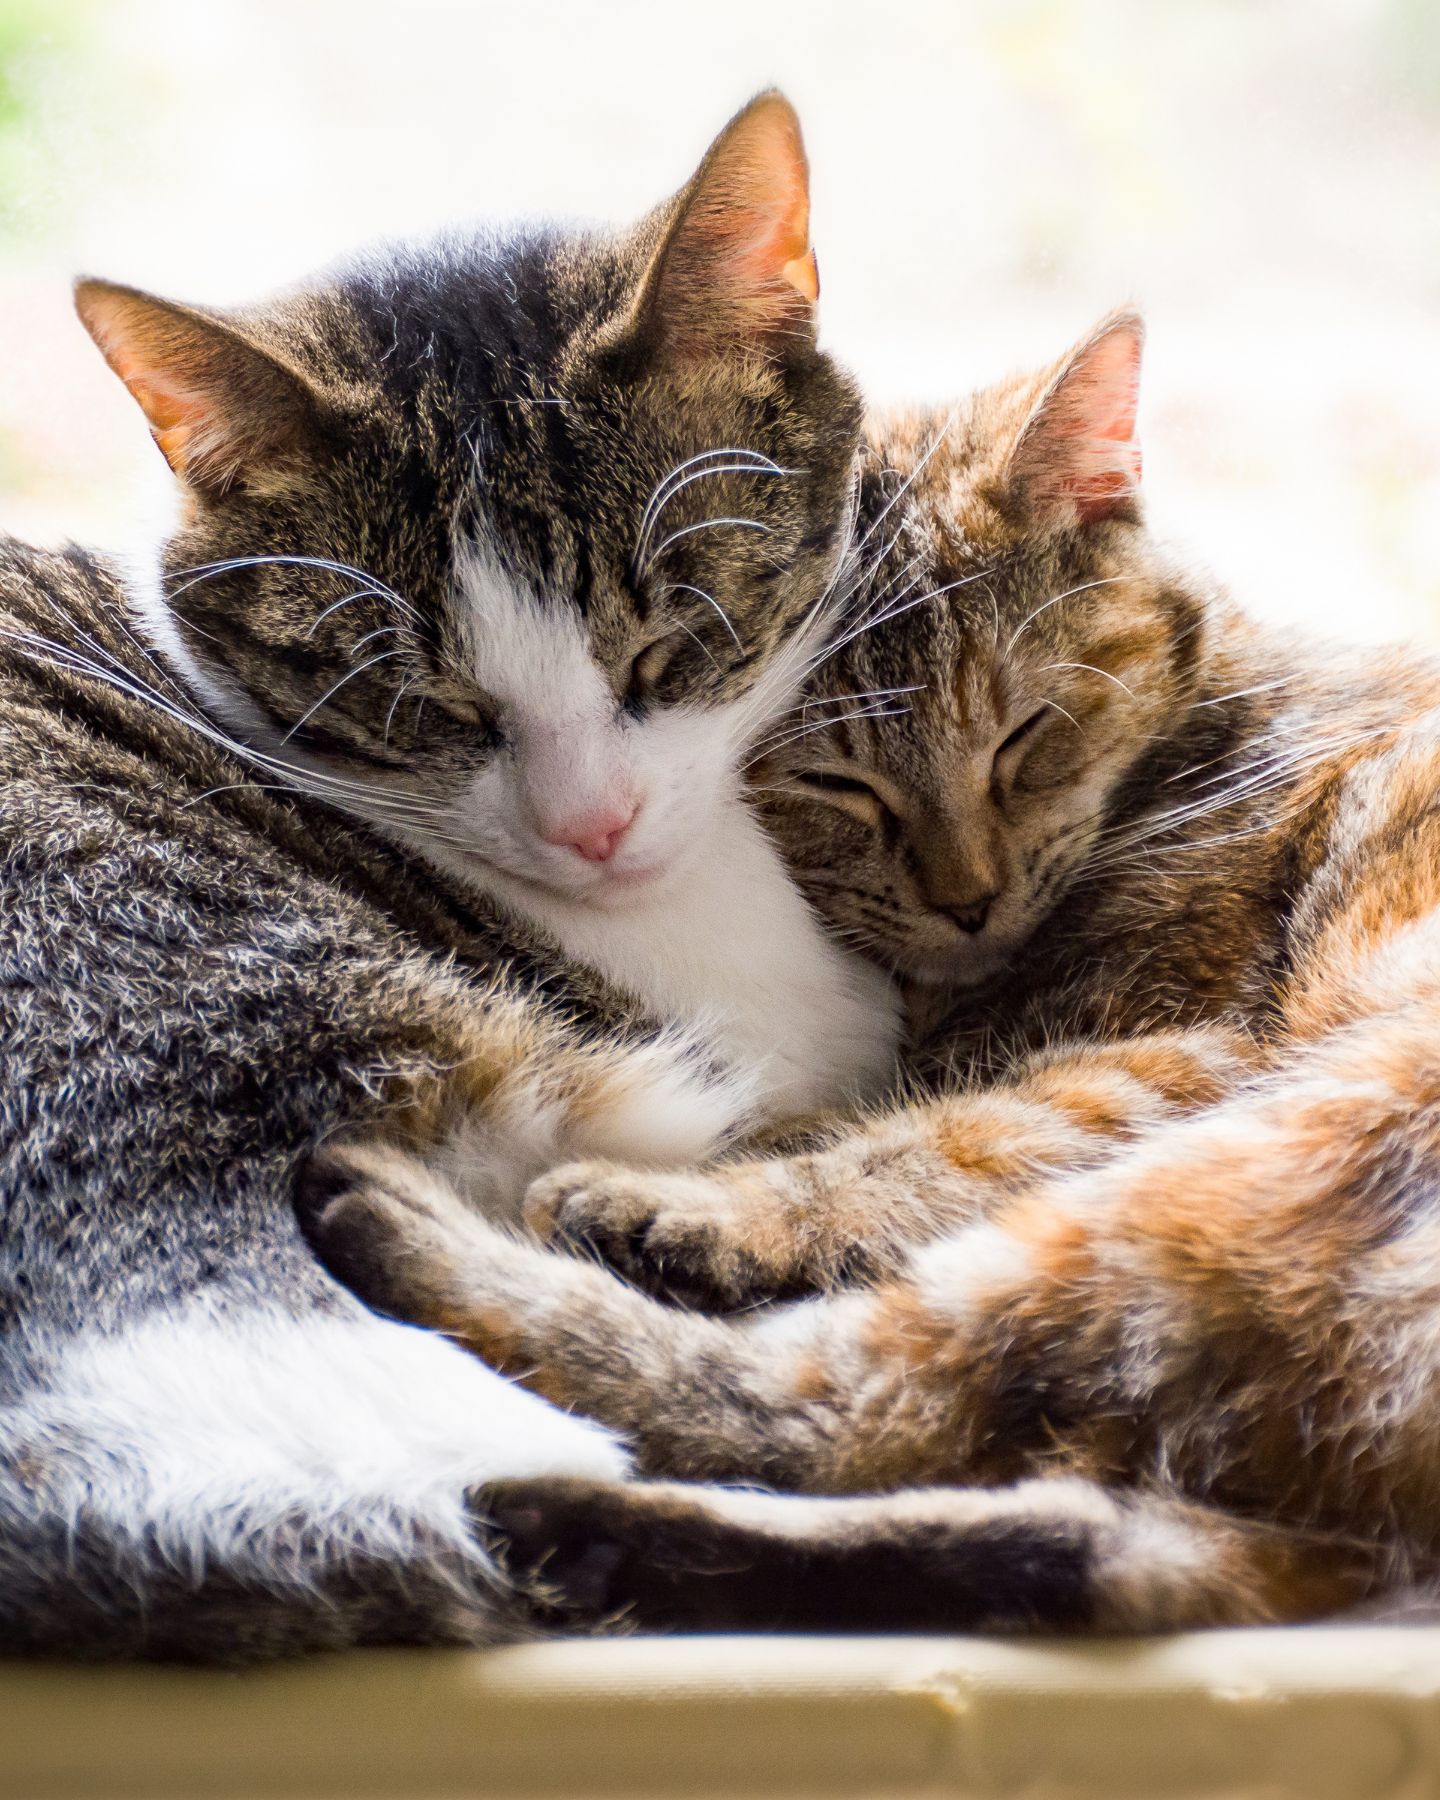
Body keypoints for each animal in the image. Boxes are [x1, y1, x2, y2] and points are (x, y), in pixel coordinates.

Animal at [304, 306, 1440, 1634]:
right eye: (838, 786)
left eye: (1023, 736)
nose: (968, 897)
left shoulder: (1185, 1057)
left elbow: (916, 1142)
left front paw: (727, 1203)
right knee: (1069, 1531)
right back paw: (586, 1532)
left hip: (1281, 1145)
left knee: (847, 1408)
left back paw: (460, 1243)